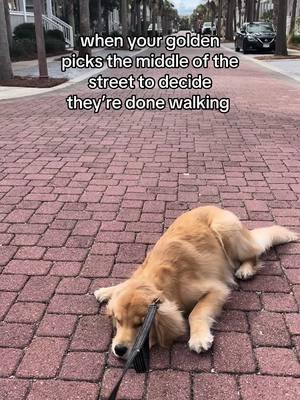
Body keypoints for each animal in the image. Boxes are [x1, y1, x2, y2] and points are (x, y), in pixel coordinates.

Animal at [94, 206, 298, 360]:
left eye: (141, 325)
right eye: (118, 321)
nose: (119, 350)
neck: (160, 280)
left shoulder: (217, 289)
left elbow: (196, 313)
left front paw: (199, 338)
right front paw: (107, 290)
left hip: (225, 228)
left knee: (255, 253)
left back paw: (245, 269)